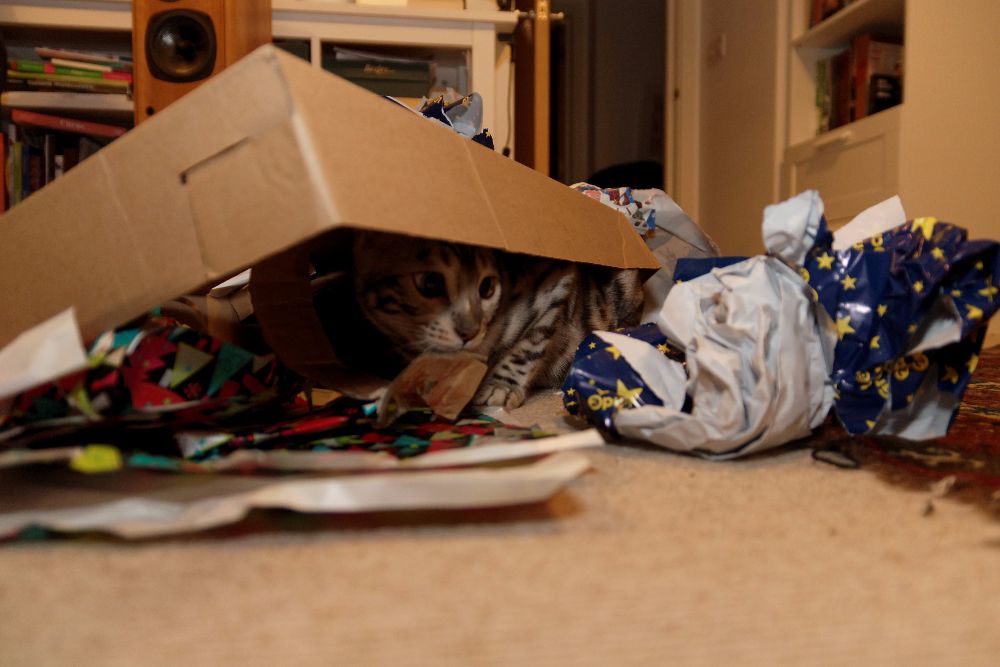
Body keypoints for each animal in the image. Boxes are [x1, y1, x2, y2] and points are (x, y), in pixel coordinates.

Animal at [350, 230, 644, 409]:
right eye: (430, 284)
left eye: (487, 287)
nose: (469, 332)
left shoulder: (557, 282)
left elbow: (527, 347)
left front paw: (500, 386)